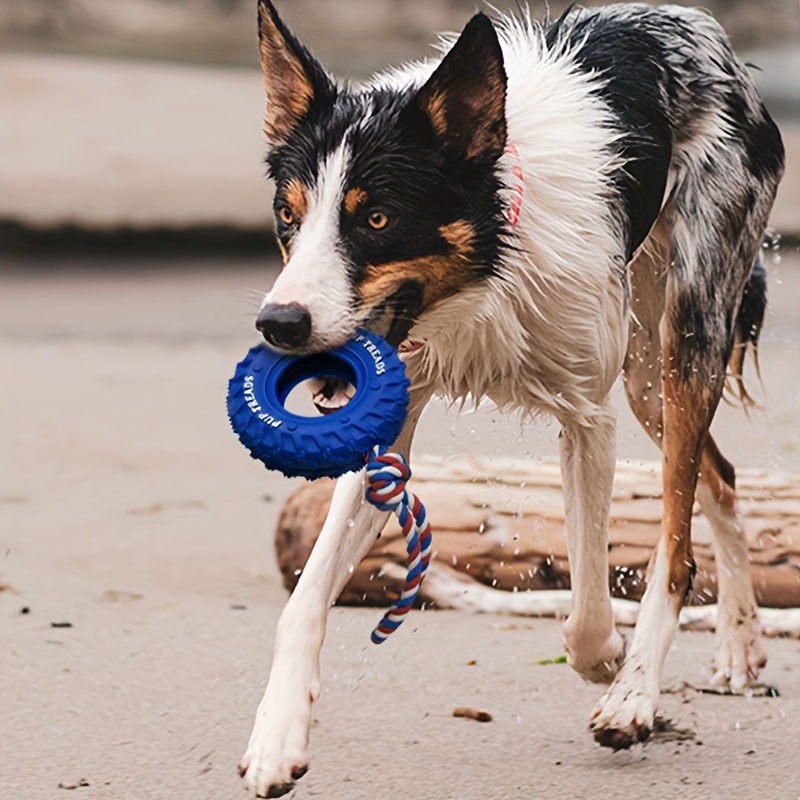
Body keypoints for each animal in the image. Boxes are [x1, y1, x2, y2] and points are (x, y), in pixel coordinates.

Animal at [238, 3, 780, 796]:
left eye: (377, 220)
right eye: (287, 215)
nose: (279, 324)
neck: (487, 271)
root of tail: (699, 26)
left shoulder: (587, 420)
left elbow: (586, 611)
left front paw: (612, 669)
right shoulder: (387, 428)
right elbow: (302, 604)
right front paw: (277, 737)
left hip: (684, 331)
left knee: (678, 540)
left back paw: (637, 692)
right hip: (648, 375)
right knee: (722, 477)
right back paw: (739, 645)